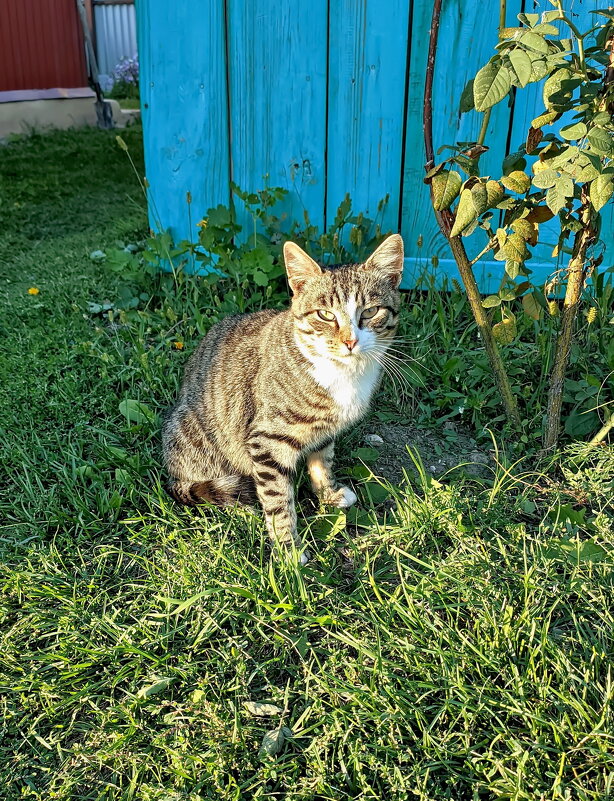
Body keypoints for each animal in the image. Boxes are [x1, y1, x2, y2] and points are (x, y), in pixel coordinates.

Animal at [161, 231, 406, 564]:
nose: (350, 341)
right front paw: (288, 548)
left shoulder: (325, 430)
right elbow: (277, 498)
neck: (342, 373)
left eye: (370, 311)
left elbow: (322, 460)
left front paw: (328, 494)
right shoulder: (266, 440)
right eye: (325, 315)